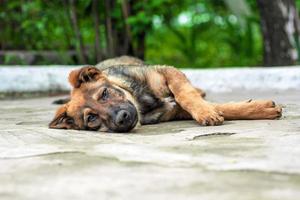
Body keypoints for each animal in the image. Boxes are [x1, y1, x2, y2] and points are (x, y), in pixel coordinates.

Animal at [48, 55, 282, 133]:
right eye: (91, 118)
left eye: (104, 93)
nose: (122, 118)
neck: (142, 102)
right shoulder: (176, 111)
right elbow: (223, 108)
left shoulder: (167, 71)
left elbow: (186, 94)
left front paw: (206, 111)